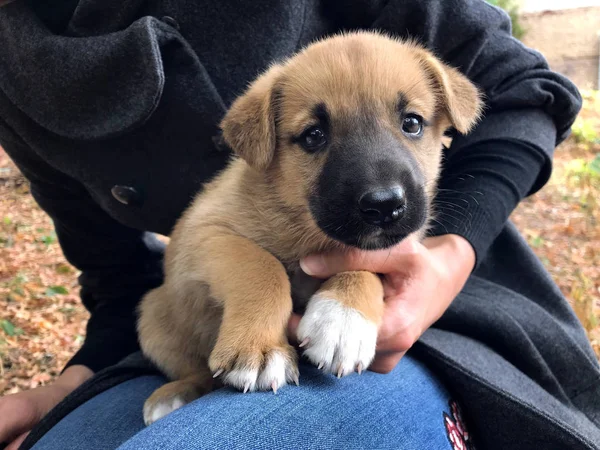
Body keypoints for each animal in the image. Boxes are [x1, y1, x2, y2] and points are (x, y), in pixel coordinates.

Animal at [137, 31, 482, 426]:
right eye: (313, 136)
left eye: (412, 123)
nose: (383, 206)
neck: (306, 229)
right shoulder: (203, 233)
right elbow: (262, 266)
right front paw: (261, 348)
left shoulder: (384, 249)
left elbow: (366, 267)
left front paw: (343, 318)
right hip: (153, 316)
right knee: (198, 371)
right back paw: (174, 394)